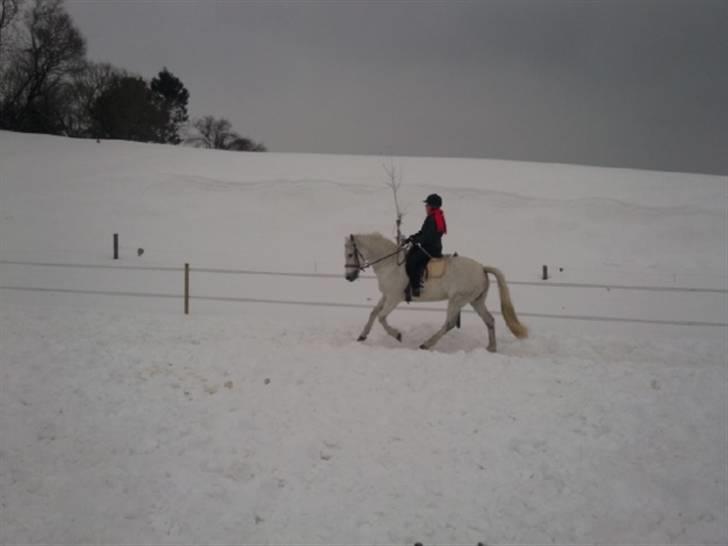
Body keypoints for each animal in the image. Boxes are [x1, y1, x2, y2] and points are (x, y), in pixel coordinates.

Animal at [344, 232, 528, 350]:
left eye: (351, 254)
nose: (349, 277)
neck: (390, 264)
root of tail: (482, 268)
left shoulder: (394, 298)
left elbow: (381, 317)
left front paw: (397, 335)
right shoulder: (386, 296)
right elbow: (373, 313)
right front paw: (362, 336)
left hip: (457, 300)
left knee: (450, 323)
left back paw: (426, 344)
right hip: (476, 301)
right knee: (489, 320)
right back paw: (491, 347)